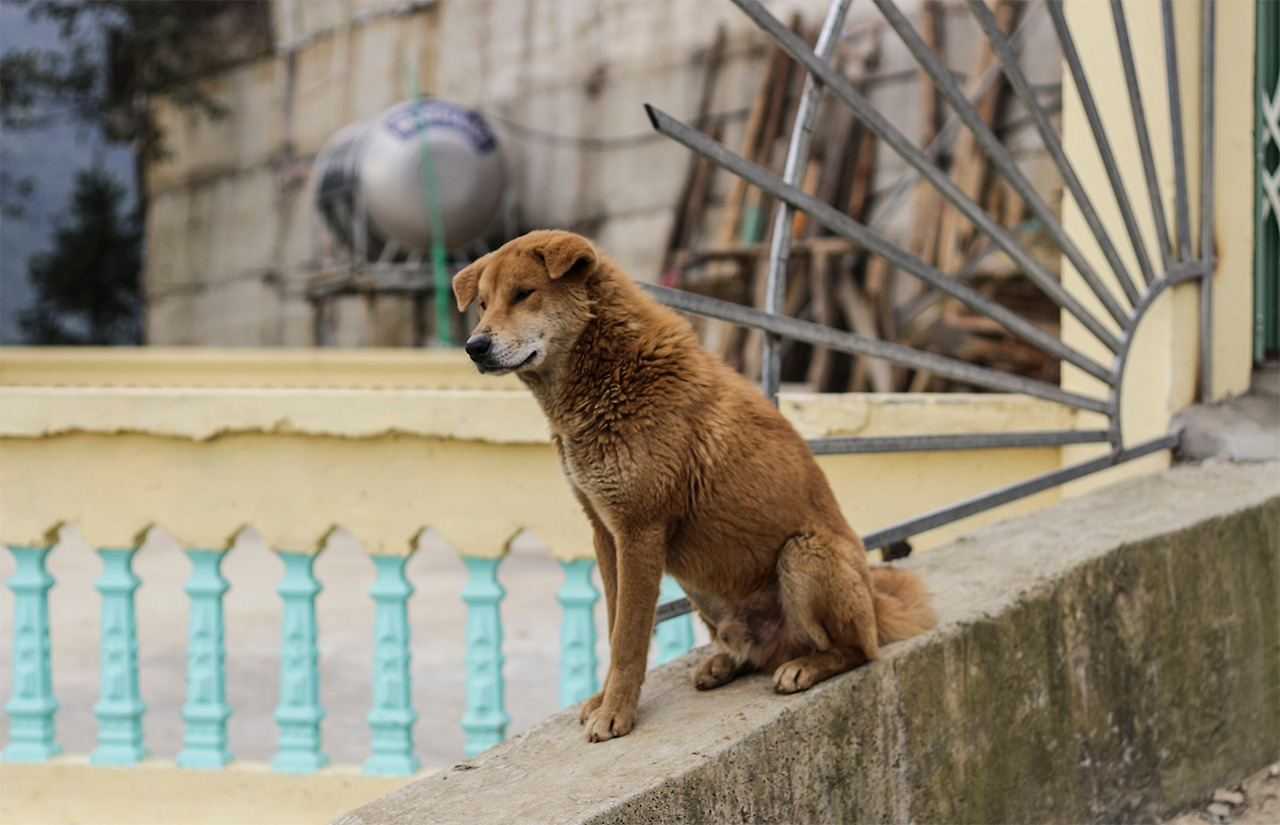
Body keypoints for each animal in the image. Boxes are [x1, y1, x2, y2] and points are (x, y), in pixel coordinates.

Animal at [454, 230, 936, 743]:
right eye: (482, 303)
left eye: (524, 294)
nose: (474, 346)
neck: (610, 371)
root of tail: (876, 606)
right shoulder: (605, 531)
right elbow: (614, 624)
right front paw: (605, 699)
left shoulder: (639, 532)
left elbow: (628, 639)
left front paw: (616, 712)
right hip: (701, 585)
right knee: (757, 654)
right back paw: (725, 664)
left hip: (804, 554)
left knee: (859, 650)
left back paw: (807, 667)